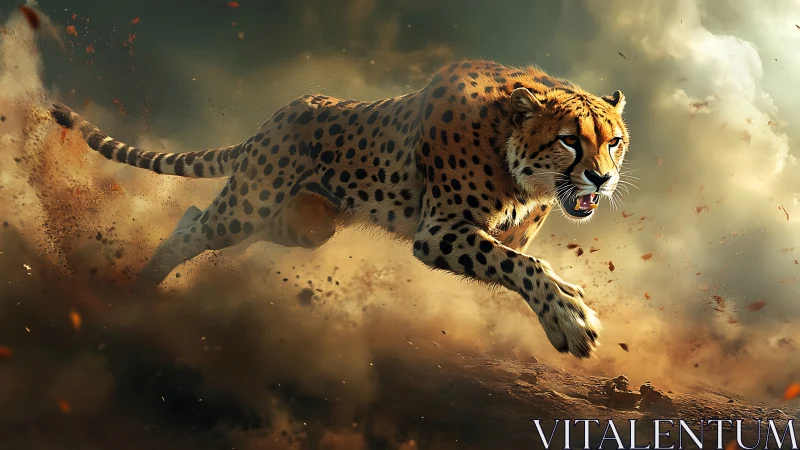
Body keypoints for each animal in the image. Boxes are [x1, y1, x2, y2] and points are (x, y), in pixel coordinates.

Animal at [50, 60, 631, 359]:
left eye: (615, 142)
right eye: (570, 140)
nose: (602, 179)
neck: (508, 148)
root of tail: (281, 111)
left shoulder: (502, 226)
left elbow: (518, 252)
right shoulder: (438, 232)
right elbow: (522, 264)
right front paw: (569, 316)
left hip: (300, 226)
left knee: (196, 218)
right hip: (250, 204)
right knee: (195, 228)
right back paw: (139, 292)